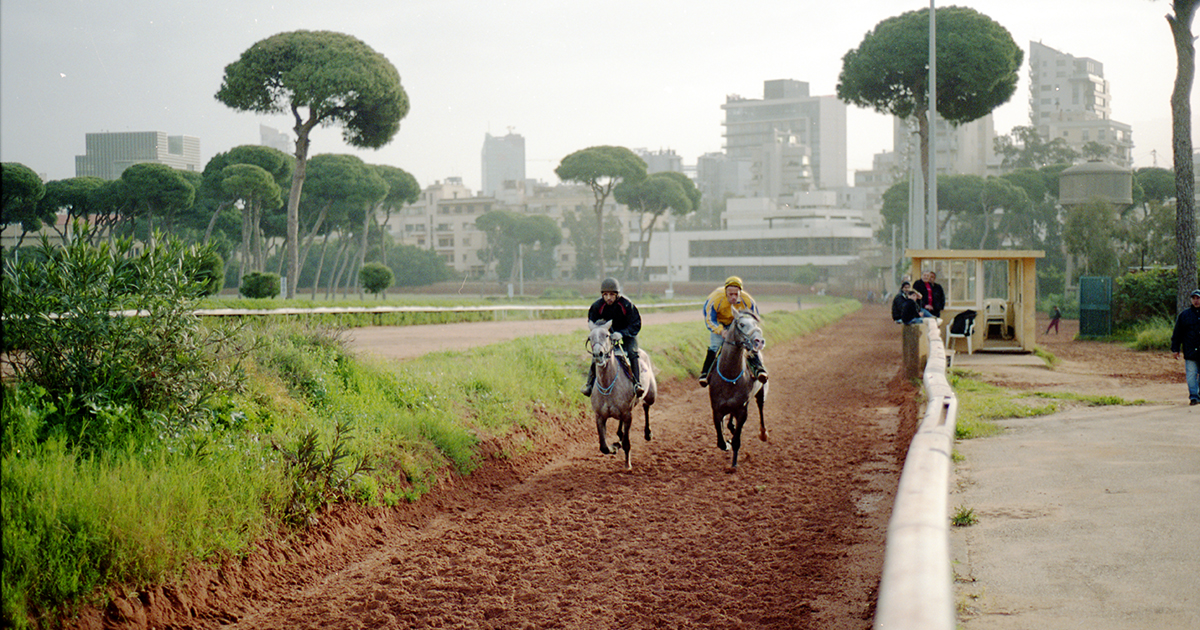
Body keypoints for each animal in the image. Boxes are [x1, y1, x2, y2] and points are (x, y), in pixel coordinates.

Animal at [583, 319, 657, 465]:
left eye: (607, 335)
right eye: (590, 337)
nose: (598, 354)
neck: (607, 385)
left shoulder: (628, 415)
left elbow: (627, 443)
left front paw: (627, 464)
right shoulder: (599, 416)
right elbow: (604, 447)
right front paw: (615, 446)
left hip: (651, 395)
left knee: (646, 406)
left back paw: (648, 433)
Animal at [700, 307, 768, 468]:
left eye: (756, 323)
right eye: (742, 324)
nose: (759, 341)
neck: (729, 375)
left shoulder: (742, 410)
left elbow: (737, 440)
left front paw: (734, 464)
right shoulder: (717, 409)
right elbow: (720, 441)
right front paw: (727, 443)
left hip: (760, 391)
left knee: (761, 407)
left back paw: (763, 433)